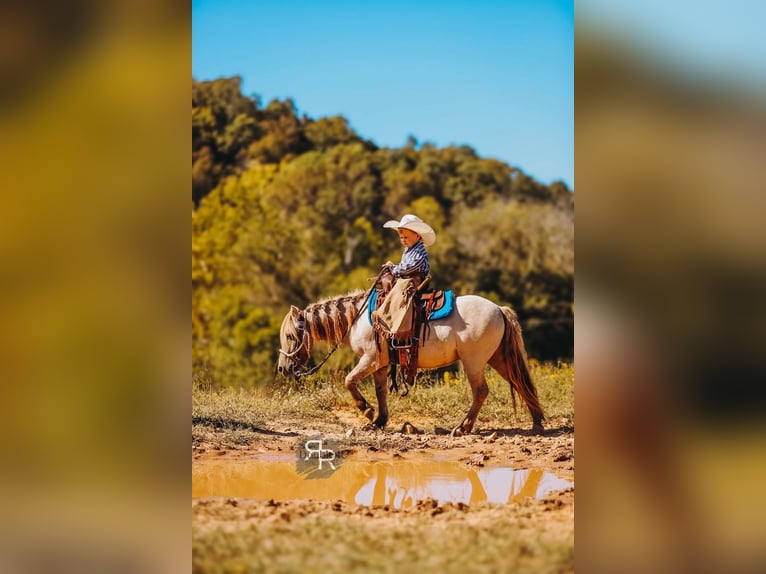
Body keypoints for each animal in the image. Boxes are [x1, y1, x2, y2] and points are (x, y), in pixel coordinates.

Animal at [276, 289, 545, 436]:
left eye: (290, 336)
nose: (282, 368)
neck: (359, 317)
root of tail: (498, 309)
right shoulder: (381, 364)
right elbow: (381, 390)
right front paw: (378, 421)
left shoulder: (370, 358)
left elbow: (349, 381)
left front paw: (367, 410)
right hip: (499, 358)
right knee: (521, 382)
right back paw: (537, 422)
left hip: (474, 362)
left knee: (481, 391)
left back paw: (462, 428)